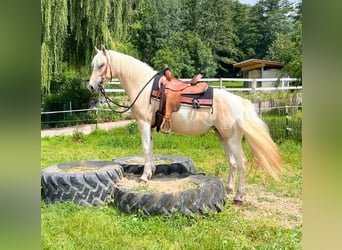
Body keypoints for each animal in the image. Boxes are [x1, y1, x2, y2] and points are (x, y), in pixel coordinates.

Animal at [87, 46, 280, 204]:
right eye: (92, 65)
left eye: (101, 64)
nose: (91, 86)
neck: (145, 88)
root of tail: (241, 102)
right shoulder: (150, 127)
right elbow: (150, 148)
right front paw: (151, 172)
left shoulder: (144, 123)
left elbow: (145, 148)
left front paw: (144, 177)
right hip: (223, 137)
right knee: (232, 163)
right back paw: (228, 189)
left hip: (233, 139)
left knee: (242, 163)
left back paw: (239, 196)